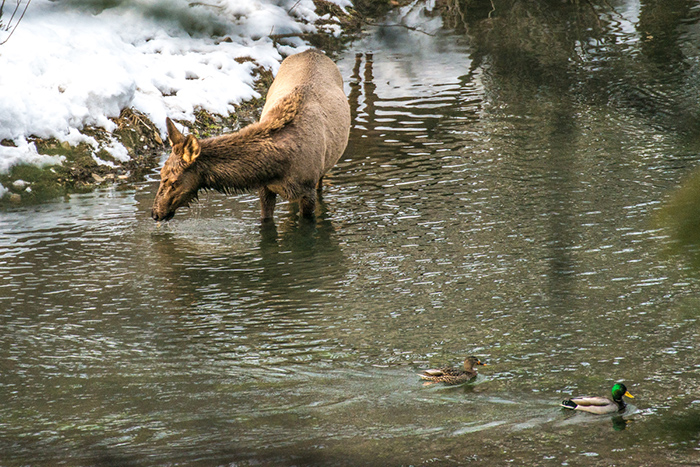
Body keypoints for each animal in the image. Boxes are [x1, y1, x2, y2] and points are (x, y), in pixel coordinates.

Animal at [152, 48, 350, 224]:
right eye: (161, 174)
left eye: (173, 181)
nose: (155, 213)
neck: (278, 166)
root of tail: (312, 51)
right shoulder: (264, 188)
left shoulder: (307, 191)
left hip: (323, 170)